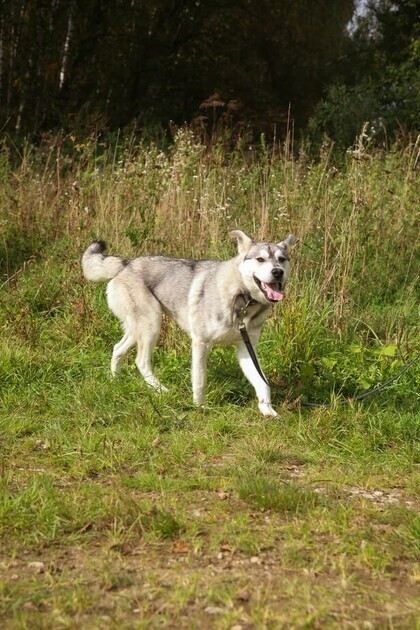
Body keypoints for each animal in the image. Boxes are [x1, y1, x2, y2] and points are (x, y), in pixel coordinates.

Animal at [80, 232, 294, 420]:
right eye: (260, 259)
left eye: (282, 259)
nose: (277, 272)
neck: (243, 299)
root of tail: (127, 263)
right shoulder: (201, 343)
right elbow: (200, 380)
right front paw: (200, 407)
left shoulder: (246, 349)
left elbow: (262, 383)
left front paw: (267, 410)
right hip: (151, 326)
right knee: (141, 361)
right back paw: (160, 390)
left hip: (138, 329)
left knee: (118, 349)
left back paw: (114, 380)